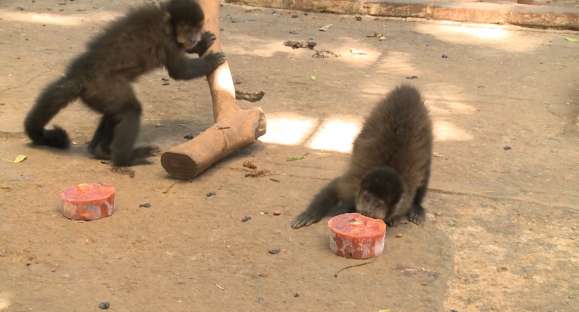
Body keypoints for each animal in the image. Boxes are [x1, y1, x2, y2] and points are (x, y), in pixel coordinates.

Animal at [24, 0, 224, 166]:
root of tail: (80, 75)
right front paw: (209, 62)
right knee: (130, 110)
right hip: (102, 86)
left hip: (96, 94)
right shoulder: (167, 41)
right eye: (188, 29)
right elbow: (180, 72)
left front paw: (201, 44)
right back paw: (125, 159)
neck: (167, 23)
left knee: (115, 113)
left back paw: (101, 151)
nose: (194, 38)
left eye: (197, 28)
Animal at [292, 84, 432, 228]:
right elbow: (334, 188)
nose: (366, 210)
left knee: (425, 172)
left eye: (378, 204)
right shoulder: (352, 185)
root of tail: (408, 89)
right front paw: (310, 213)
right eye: (367, 198)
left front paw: (396, 218)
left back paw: (417, 208)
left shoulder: (405, 201)